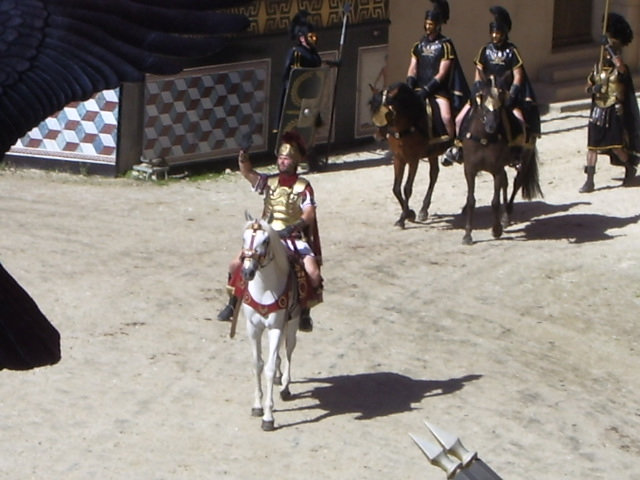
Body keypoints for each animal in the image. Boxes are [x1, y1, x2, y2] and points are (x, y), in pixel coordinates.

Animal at [240, 216, 300, 430]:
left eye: (265, 241)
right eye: (243, 238)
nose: (248, 272)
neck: (265, 289)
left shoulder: (275, 327)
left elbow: (269, 367)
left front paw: (268, 416)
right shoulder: (253, 328)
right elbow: (257, 364)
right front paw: (257, 406)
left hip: (292, 322)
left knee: (289, 350)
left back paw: (285, 386)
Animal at [368, 82, 452, 229]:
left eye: (387, 112)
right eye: (372, 108)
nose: (377, 137)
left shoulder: (414, 159)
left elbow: (407, 188)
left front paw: (403, 218)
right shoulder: (398, 158)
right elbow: (396, 189)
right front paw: (409, 213)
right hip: (432, 154)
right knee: (434, 174)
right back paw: (424, 210)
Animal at [462, 77, 544, 246]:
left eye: (499, 107)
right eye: (482, 104)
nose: (491, 126)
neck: (484, 140)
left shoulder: (496, 170)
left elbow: (495, 201)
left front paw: (496, 229)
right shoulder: (470, 171)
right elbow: (471, 201)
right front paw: (467, 235)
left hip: (524, 161)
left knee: (516, 184)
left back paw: (506, 217)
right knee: (505, 184)